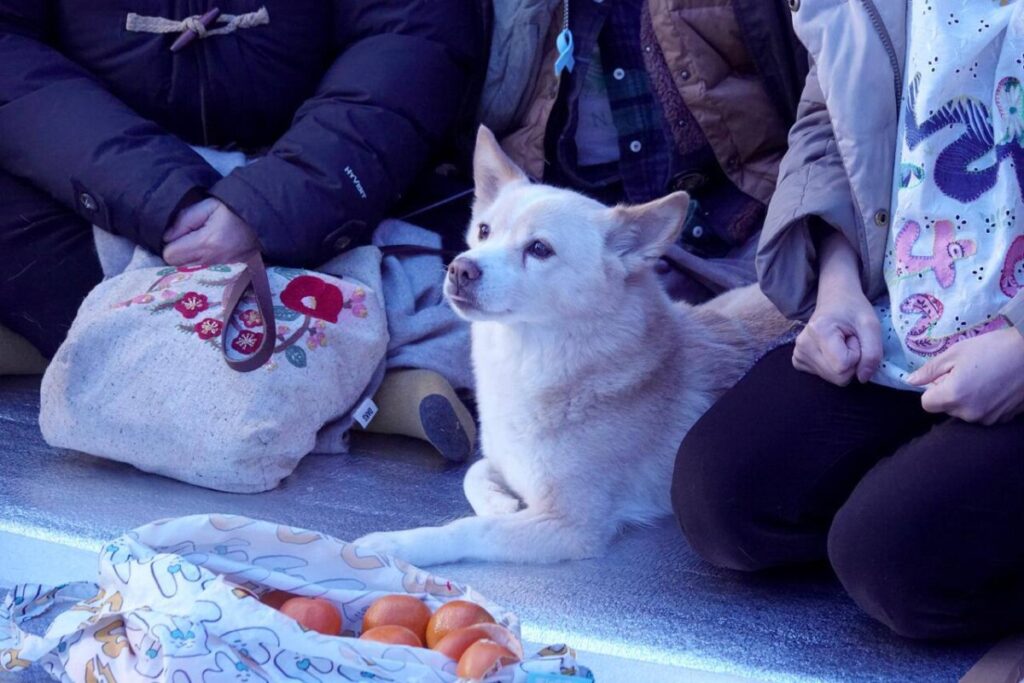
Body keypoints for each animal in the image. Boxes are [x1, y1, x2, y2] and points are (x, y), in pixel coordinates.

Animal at [356, 127, 791, 566]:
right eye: (484, 231)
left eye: (539, 249)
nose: (461, 268)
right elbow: (474, 473)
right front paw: (500, 501)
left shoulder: (570, 527)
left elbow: (472, 529)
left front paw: (395, 544)